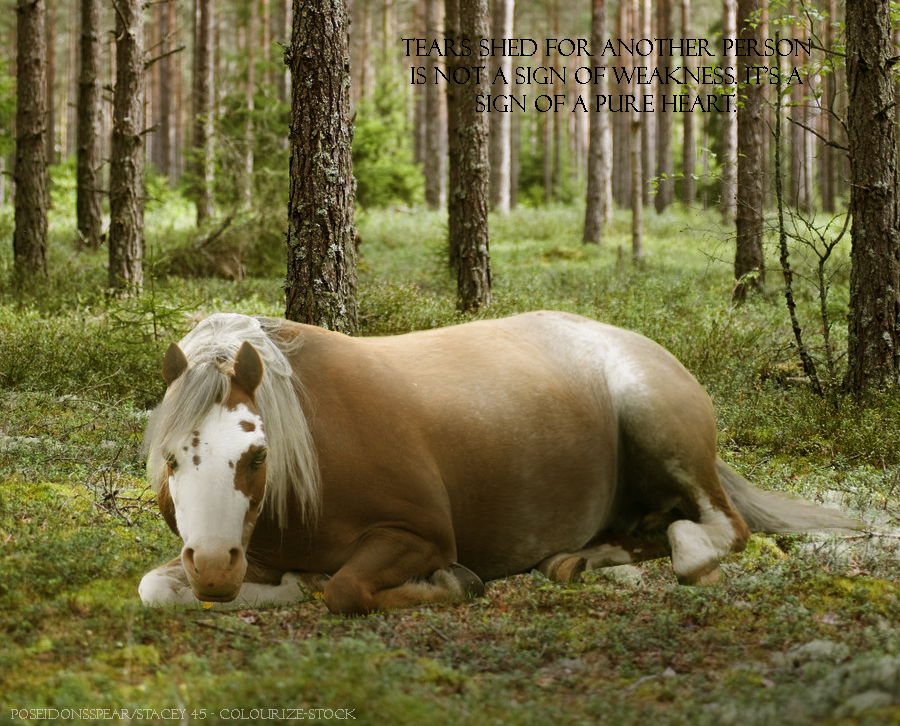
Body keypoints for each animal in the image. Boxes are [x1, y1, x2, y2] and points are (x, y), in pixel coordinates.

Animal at [139, 312, 856, 616]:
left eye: (256, 453)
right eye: (171, 459)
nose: (212, 566)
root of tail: (648, 346)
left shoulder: (420, 535)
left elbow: (346, 589)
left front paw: (451, 584)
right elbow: (156, 589)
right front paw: (285, 585)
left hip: (660, 425)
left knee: (714, 530)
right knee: (645, 530)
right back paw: (580, 561)